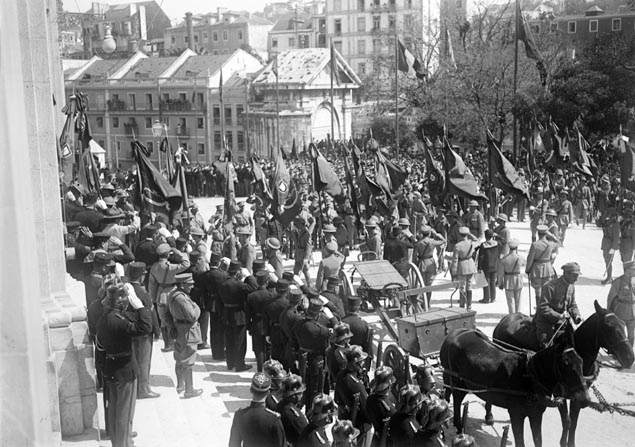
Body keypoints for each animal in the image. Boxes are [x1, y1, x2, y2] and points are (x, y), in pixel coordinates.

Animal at [440, 326, 588, 447]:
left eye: (581, 361)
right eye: (566, 364)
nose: (585, 399)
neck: (530, 378)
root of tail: (453, 334)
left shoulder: (536, 414)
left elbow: (538, 440)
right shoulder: (516, 414)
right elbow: (520, 442)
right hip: (457, 381)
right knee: (456, 400)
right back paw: (457, 428)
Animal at [490, 300, 632, 447]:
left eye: (623, 324)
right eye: (609, 327)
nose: (630, 358)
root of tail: (505, 319)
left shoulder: (579, 396)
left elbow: (574, 423)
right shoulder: (560, 396)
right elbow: (567, 421)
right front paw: (563, 442)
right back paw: (489, 416)